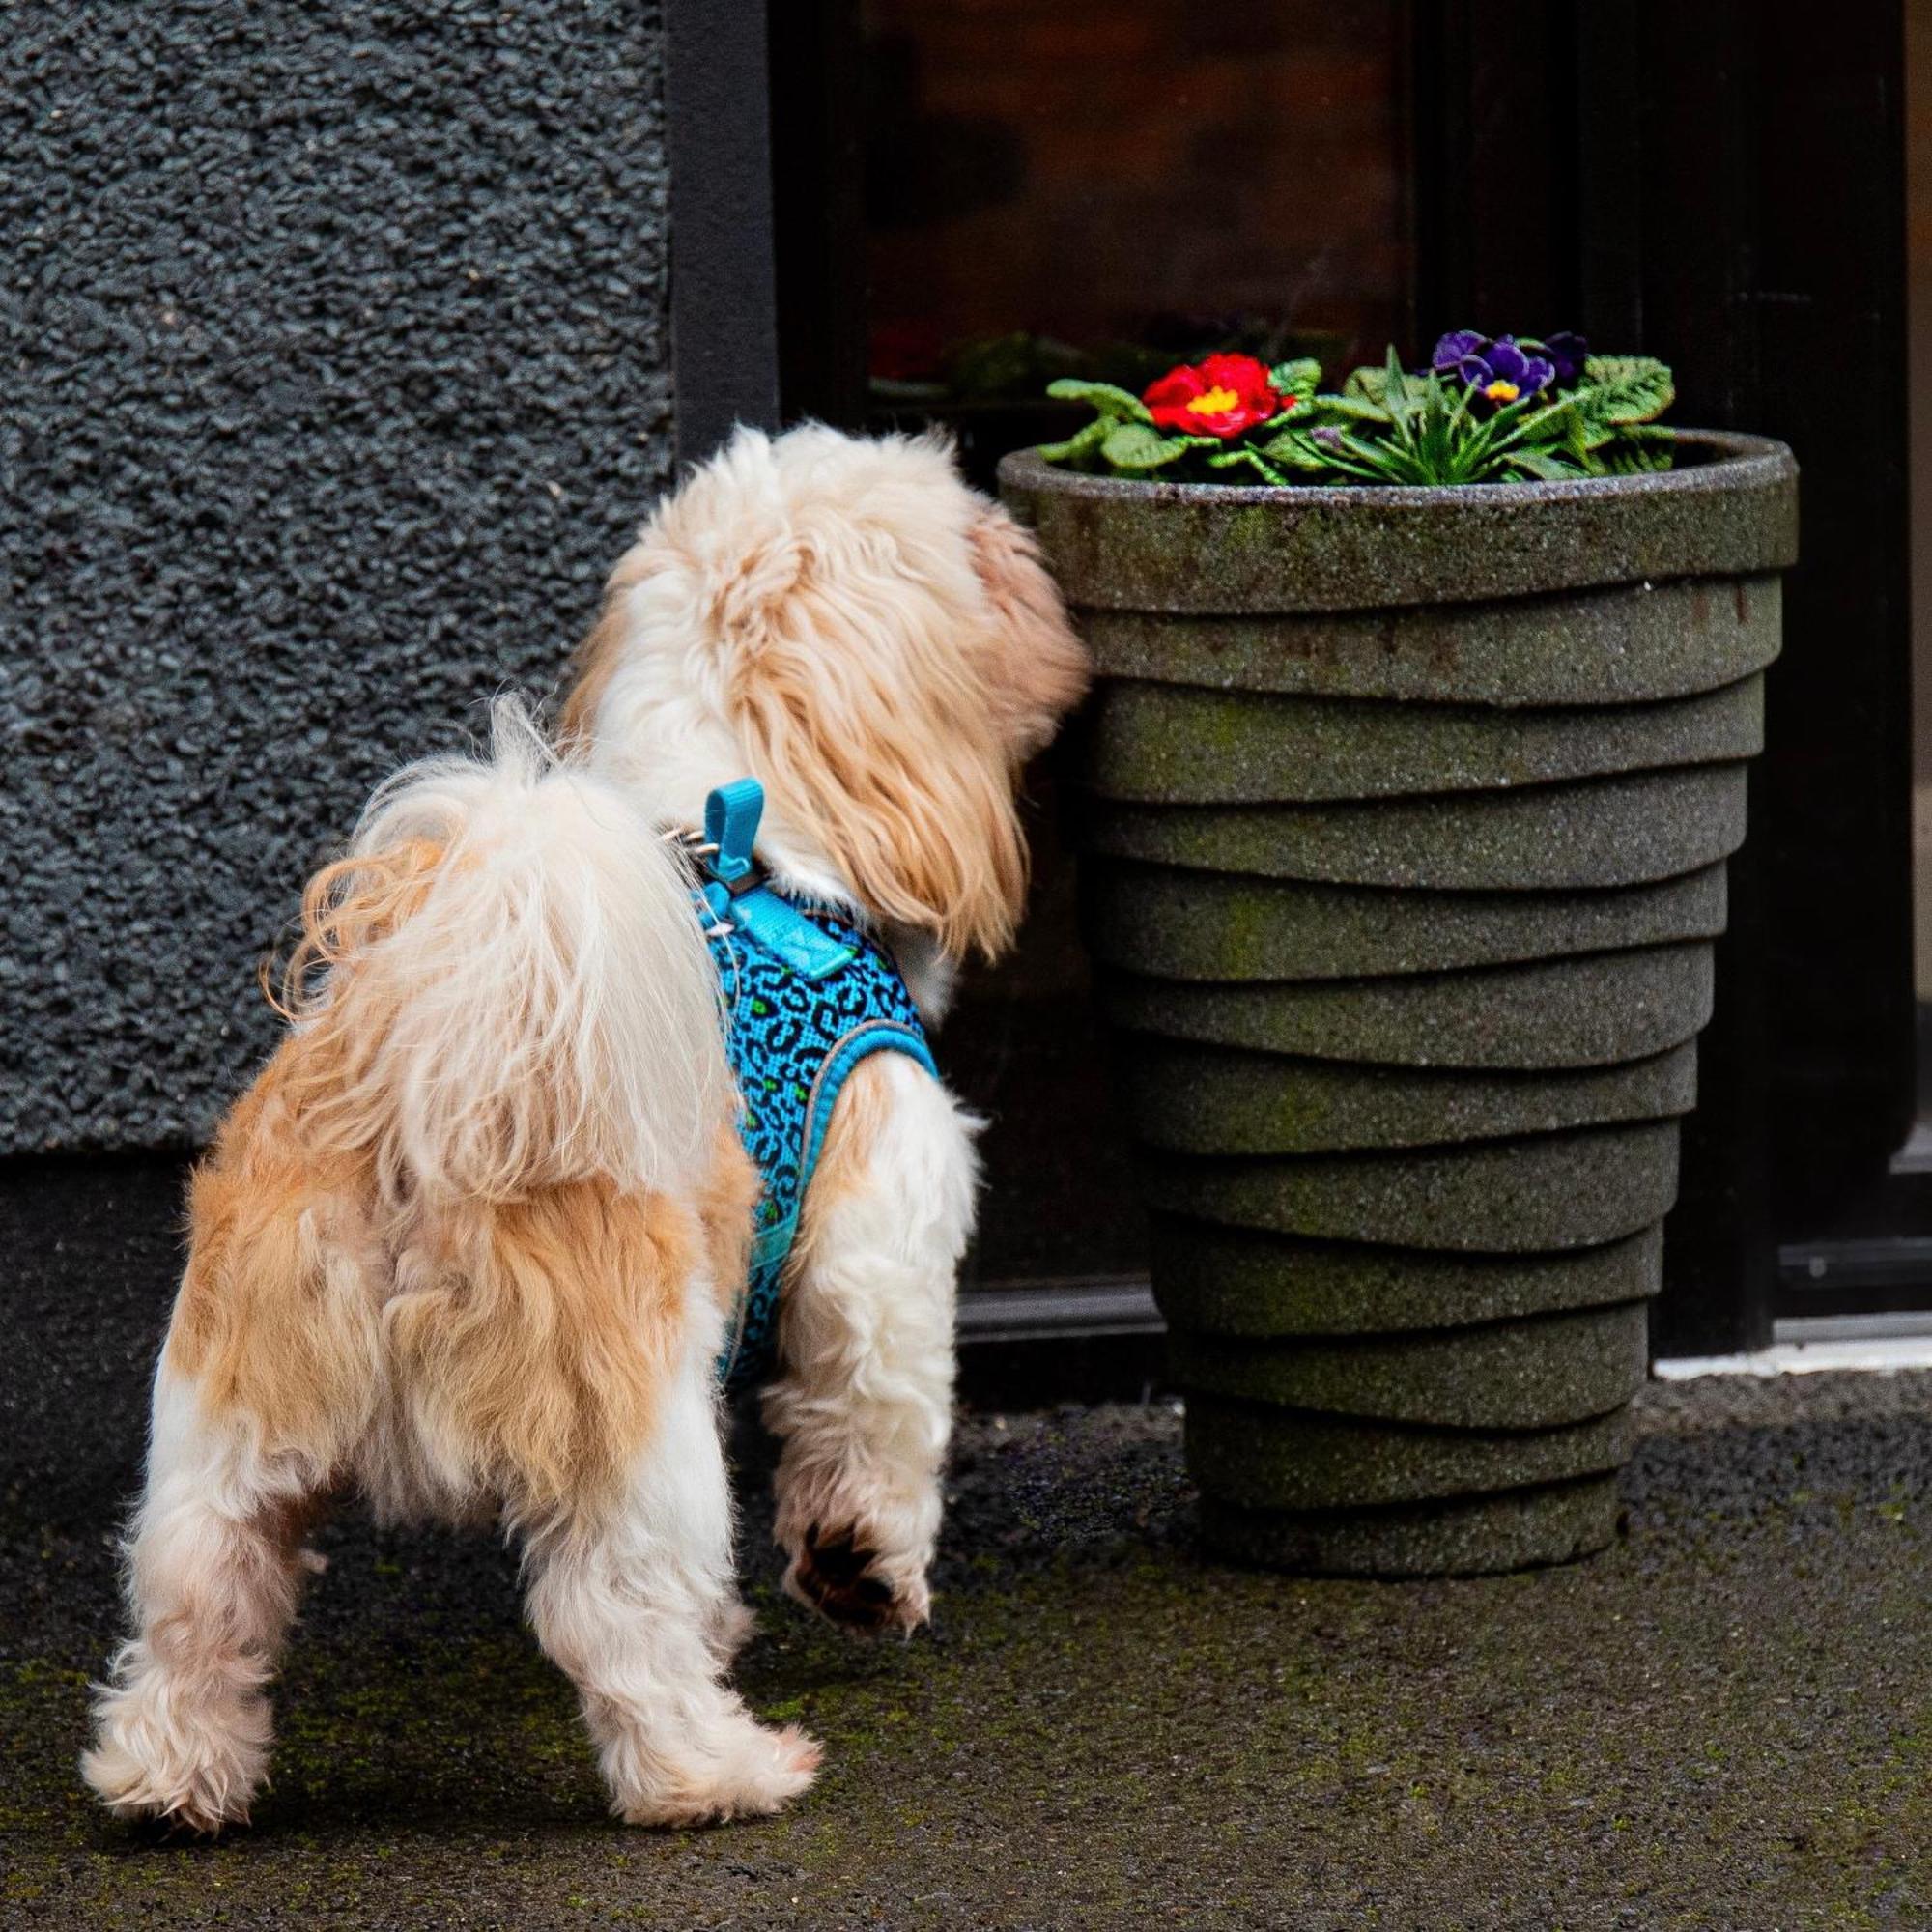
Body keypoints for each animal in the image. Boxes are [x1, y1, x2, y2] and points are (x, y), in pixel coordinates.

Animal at [87, 431, 1090, 1832]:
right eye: (975, 543)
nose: (1022, 546)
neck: (751, 836)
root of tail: (417, 1096)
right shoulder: (880, 1248)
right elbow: (871, 1415)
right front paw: (862, 1568)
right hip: (636, 1436)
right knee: (614, 1622)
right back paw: (718, 1772)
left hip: (226, 1421)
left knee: (197, 1600)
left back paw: (168, 1780)